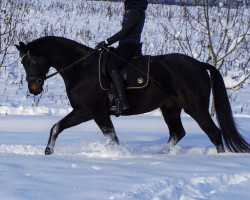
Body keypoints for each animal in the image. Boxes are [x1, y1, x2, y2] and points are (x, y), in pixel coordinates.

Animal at [15, 36, 250, 155]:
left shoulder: (90, 111)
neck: (81, 67)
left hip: (195, 107)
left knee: (214, 133)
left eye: (29, 61)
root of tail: (200, 64)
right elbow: (108, 138)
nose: (33, 89)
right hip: (170, 108)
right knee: (177, 132)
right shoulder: (93, 113)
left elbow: (60, 128)